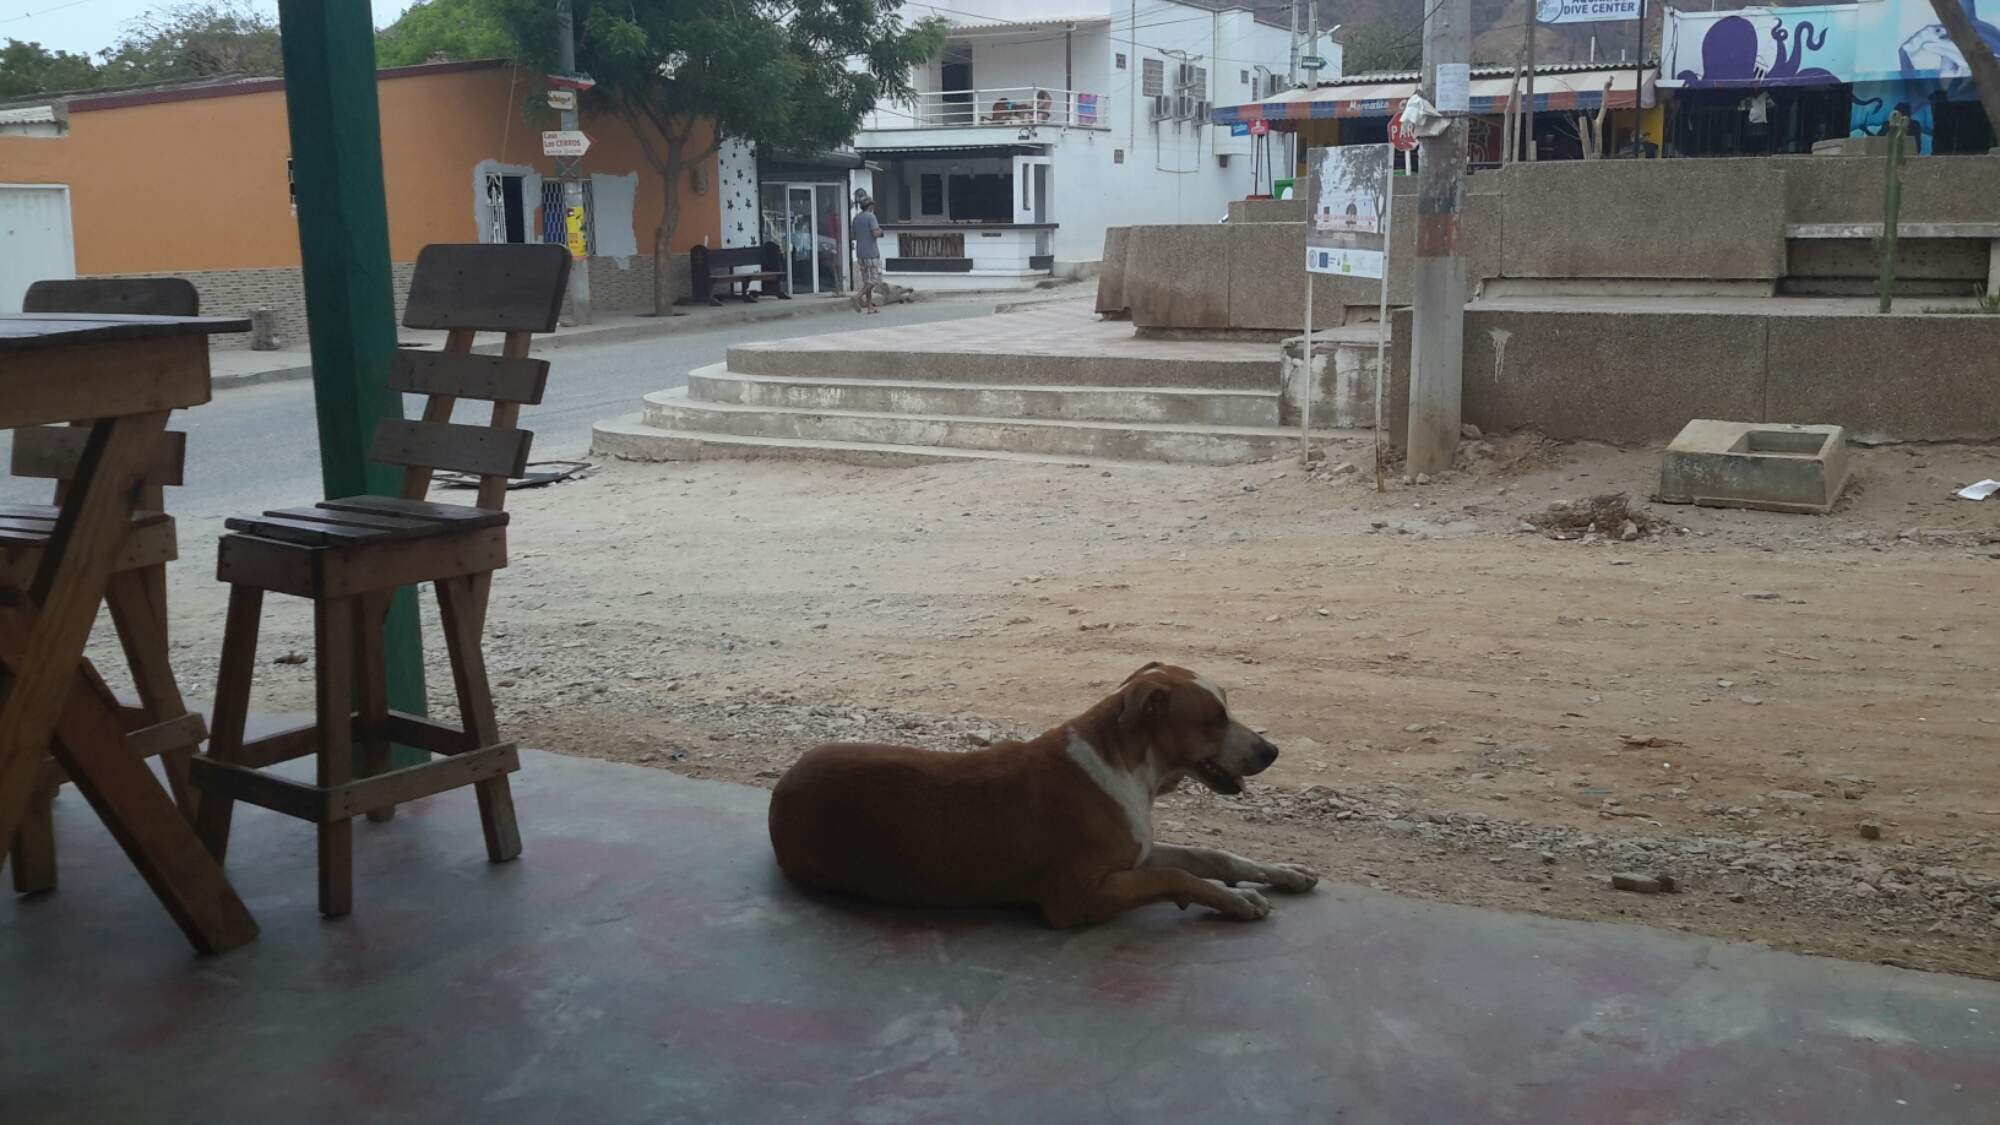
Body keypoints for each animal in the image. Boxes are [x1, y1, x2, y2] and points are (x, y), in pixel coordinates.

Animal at [764, 660, 1312, 924]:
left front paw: (1283, 872)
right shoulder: (1077, 897)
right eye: (1214, 719)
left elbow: (1212, 856)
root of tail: (784, 781)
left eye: (1227, 708)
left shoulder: (1137, 852)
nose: (1272, 751)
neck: (1127, 762)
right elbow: (1178, 876)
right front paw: (1234, 900)